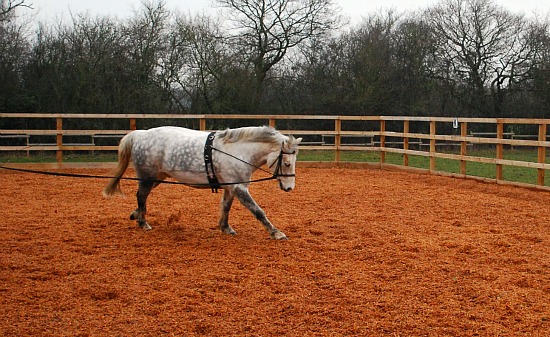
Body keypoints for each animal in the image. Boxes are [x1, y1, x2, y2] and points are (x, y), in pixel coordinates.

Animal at [102, 125, 302, 239]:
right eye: (286, 163)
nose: (289, 187)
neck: (238, 151)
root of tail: (140, 135)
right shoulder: (239, 188)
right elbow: (257, 211)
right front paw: (276, 233)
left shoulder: (230, 187)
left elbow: (226, 207)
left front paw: (225, 227)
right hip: (147, 176)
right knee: (141, 196)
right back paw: (143, 222)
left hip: (158, 176)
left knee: (142, 197)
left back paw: (136, 215)